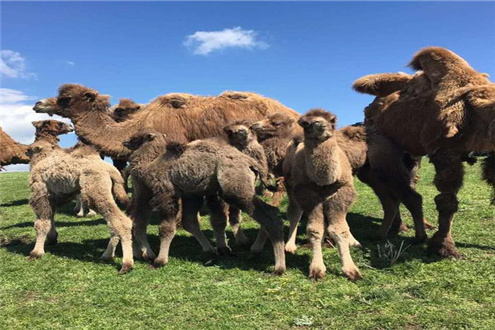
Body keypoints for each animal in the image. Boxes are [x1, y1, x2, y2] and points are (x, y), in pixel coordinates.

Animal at [26, 121, 132, 274]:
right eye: (59, 123)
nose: (70, 126)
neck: (42, 155)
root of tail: (112, 172)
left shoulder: (41, 193)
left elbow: (41, 223)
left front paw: (36, 252)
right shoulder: (54, 196)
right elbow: (51, 218)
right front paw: (52, 239)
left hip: (96, 192)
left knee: (121, 221)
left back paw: (126, 264)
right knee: (113, 223)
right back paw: (107, 254)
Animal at [284, 109, 362, 280]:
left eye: (332, 120)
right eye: (305, 123)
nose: (320, 124)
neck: (323, 181)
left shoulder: (341, 192)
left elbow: (339, 229)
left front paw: (351, 269)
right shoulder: (308, 194)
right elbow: (314, 229)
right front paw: (317, 268)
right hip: (291, 187)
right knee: (294, 213)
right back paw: (289, 246)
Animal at [354, 46, 494, 258]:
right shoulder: (445, 152)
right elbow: (446, 201)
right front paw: (444, 247)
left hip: (410, 156)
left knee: (405, 186)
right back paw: (400, 228)